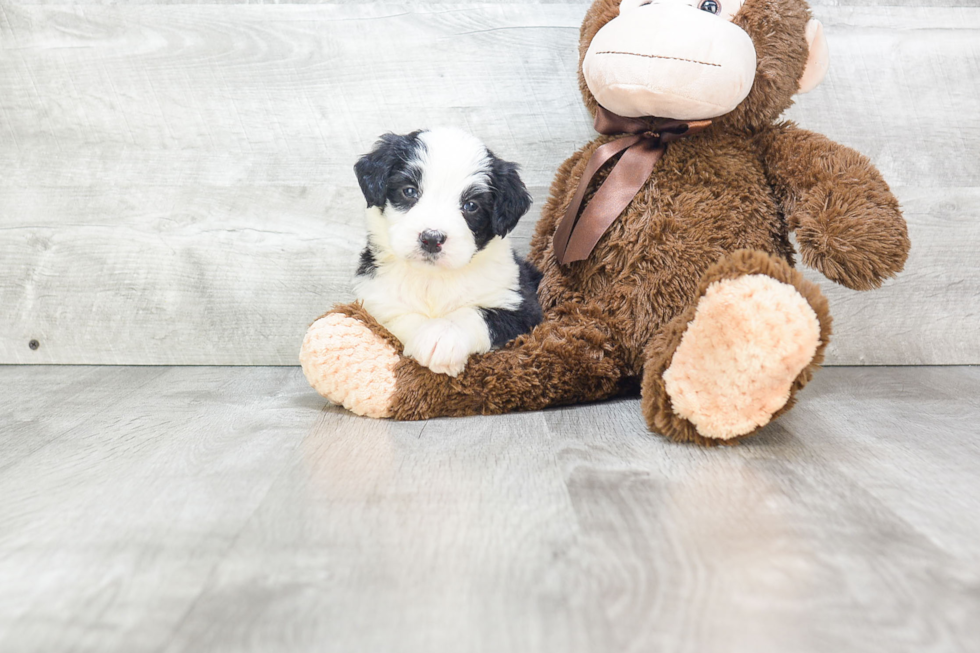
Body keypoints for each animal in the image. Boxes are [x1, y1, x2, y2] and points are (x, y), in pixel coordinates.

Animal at [350, 126, 544, 376]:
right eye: (409, 191)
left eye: (471, 205)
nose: (432, 238)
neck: (433, 279)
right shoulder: (377, 301)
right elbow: (401, 318)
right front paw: (427, 338)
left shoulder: (519, 303)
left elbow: (476, 313)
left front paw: (442, 338)